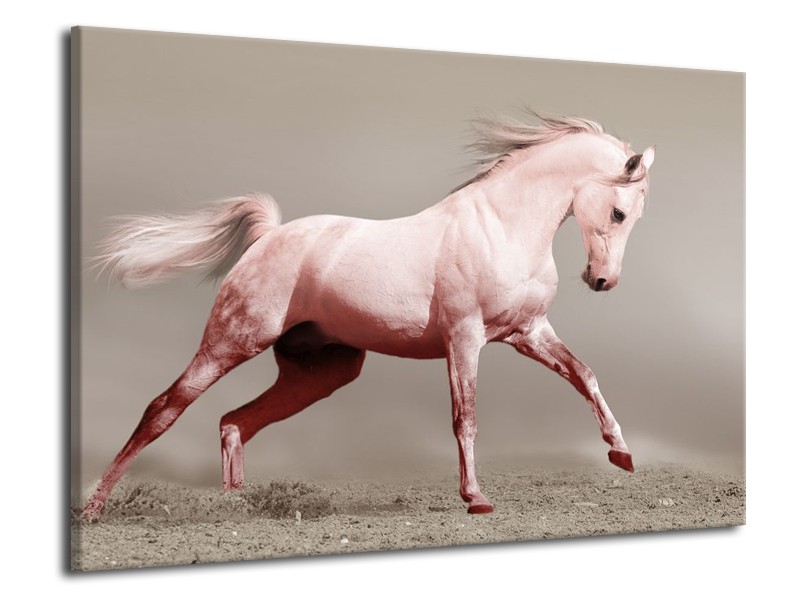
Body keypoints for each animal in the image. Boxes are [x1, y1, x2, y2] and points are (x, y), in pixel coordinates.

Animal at [81, 112, 655, 519]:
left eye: (635, 216)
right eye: (619, 212)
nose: (602, 281)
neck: (500, 228)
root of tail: (270, 236)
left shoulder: (527, 333)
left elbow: (585, 376)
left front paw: (622, 455)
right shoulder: (464, 339)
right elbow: (465, 416)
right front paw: (475, 498)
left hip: (321, 373)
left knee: (235, 421)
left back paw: (236, 505)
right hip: (231, 342)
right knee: (164, 408)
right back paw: (93, 506)